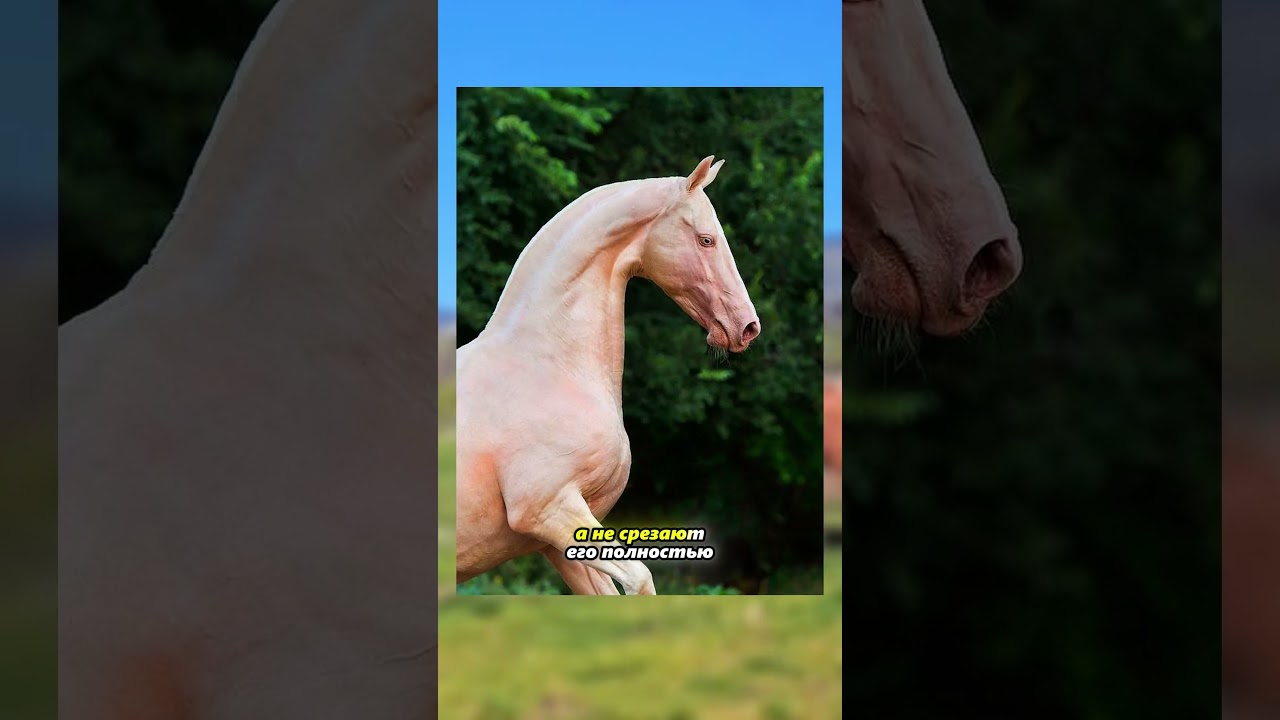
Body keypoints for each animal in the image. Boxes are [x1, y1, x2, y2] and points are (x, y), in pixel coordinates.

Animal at [455, 156, 760, 596]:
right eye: (706, 240)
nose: (748, 327)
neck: (551, 366)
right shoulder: (550, 509)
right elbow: (641, 580)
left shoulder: (559, 542)